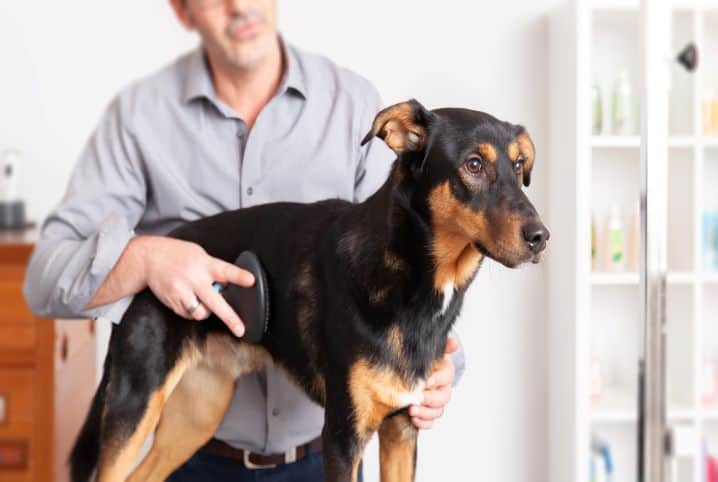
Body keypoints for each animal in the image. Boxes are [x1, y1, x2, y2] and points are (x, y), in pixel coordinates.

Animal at [69, 99, 552, 482]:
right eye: (474, 165)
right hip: (135, 402)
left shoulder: (402, 430)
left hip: (196, 413)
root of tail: (155, 249)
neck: (412, 276)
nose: (541, 237)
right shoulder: (342, 437)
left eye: (519, 167)